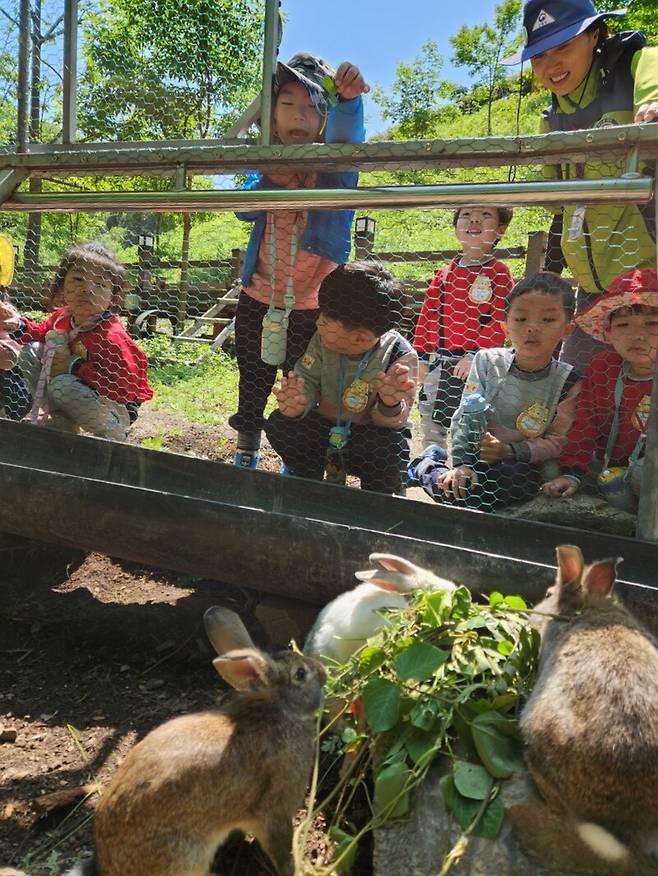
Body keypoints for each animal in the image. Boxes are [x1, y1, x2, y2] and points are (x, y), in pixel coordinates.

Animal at [64, 604, 326, 876]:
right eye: (300, 674)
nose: (324, 672)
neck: (275, 710)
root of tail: (108, 868)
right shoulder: (275, 810)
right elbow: (282, 851)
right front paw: (302, 869)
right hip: (185, 855)